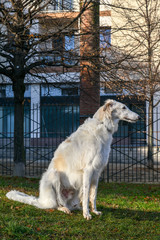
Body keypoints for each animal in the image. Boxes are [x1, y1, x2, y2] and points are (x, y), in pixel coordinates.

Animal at [6, 99, 139, 219]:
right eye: (124, 107)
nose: (139, 117)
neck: (103, 124)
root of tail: (40, 200)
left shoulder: (97, 172)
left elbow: (93, 195)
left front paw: (94, 211)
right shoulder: (88, 170)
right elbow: (86, 196)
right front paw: (87, 214)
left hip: (75, 189)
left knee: (72, 203)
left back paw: (76, 207)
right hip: (53, 176)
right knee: (57, 204)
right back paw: (65, 209)